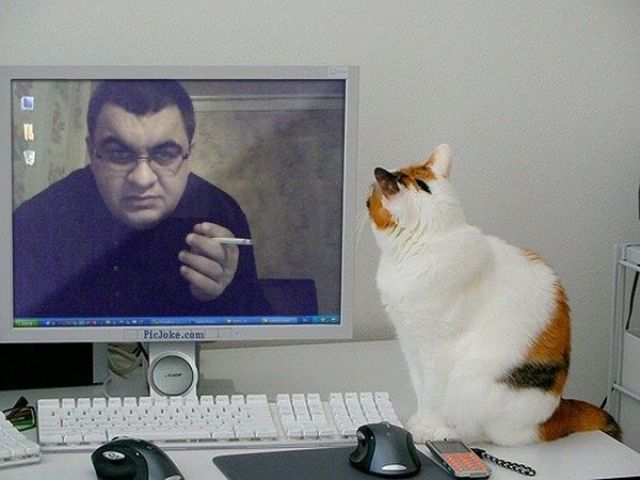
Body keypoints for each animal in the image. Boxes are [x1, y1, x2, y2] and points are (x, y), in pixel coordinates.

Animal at [367, 144, 621, 446]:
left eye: (370, 198)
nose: (368, 193)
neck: (421, 247)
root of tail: (552, 414)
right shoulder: (409, 340)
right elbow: (420, 387)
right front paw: (420, 419)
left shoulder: (435, 349)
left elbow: (432, 394)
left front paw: (426, 428)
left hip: (471, 381)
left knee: (483, 432)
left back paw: (447, 433)